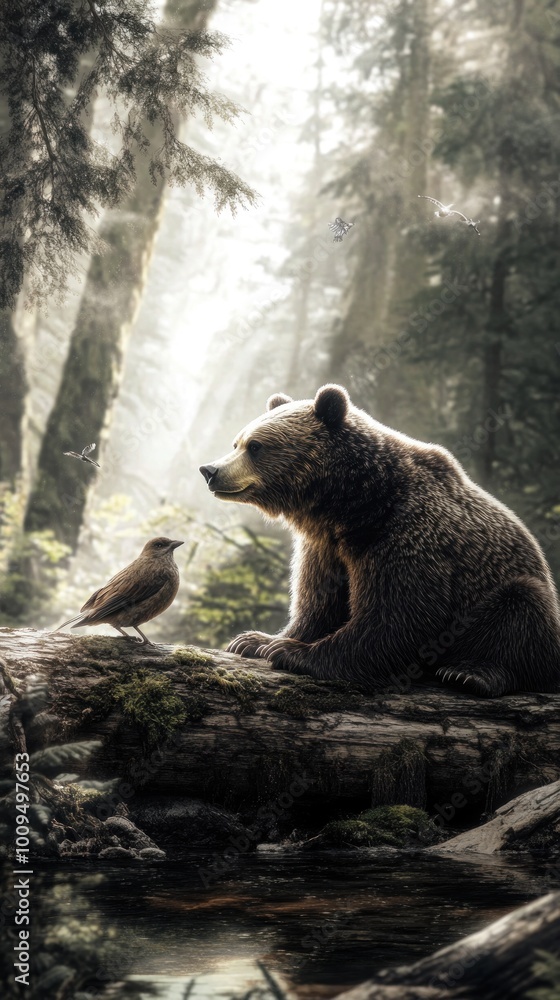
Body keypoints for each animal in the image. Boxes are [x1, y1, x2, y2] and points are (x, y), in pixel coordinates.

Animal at [199, 384, 560, 697]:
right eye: (236, 443)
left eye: (256, 446)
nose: (210, 470)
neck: (356, 505)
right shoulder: (326, 546)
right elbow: (318, 601)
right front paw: (254, 640)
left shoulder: (407, 531)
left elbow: (399, 616)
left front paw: (291, 651)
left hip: (509, 597)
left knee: (522, 610)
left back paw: (471, 673)